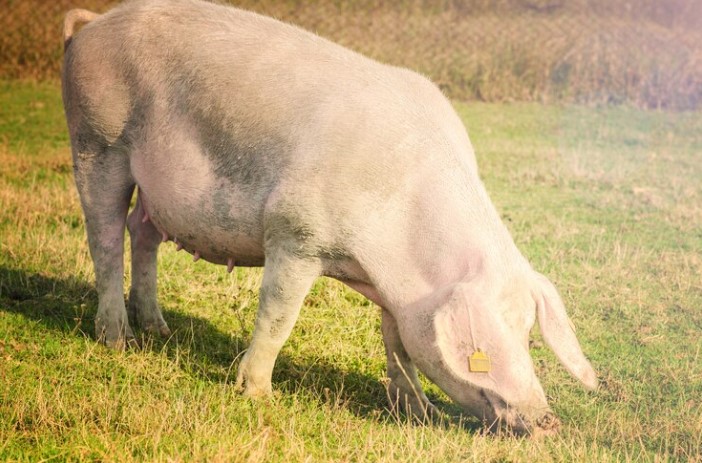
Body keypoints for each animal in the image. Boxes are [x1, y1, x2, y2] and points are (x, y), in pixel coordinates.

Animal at [62, 0, 600, 436]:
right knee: (104, 235)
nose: (548, 422)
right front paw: (258, 395)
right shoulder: (295, 234)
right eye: (495, 335)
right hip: (96, 139)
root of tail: (93, 25)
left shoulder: (398, 295)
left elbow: (398, 343)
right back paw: (120, 341)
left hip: (151, 189)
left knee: (141, 231)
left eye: (528, 332)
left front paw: (419, 412)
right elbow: (279, 316)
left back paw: (159, 330)